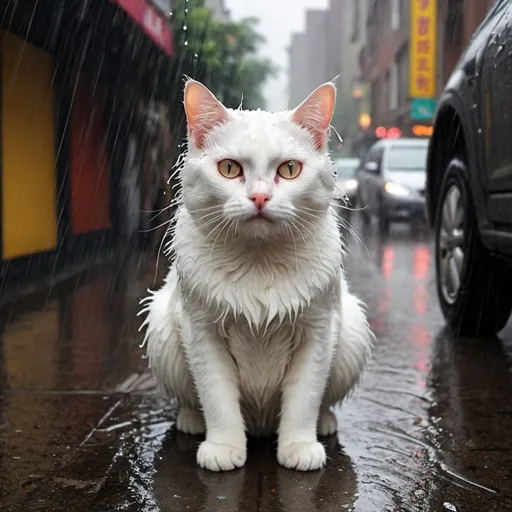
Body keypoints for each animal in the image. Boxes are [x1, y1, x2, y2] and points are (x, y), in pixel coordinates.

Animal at [138, 80, 374, 472]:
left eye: (290, 169)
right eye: (229, 169)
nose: (260, 197)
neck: (258, 261)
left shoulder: (318, 331)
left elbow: (305, 397)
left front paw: (299, 447)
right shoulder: (200, 332)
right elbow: (217, 396)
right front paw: (223, 447)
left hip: (352, 330)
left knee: (322, 401)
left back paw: (324, 424)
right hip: (162, 329)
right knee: (192, 399)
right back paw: (191, 420)